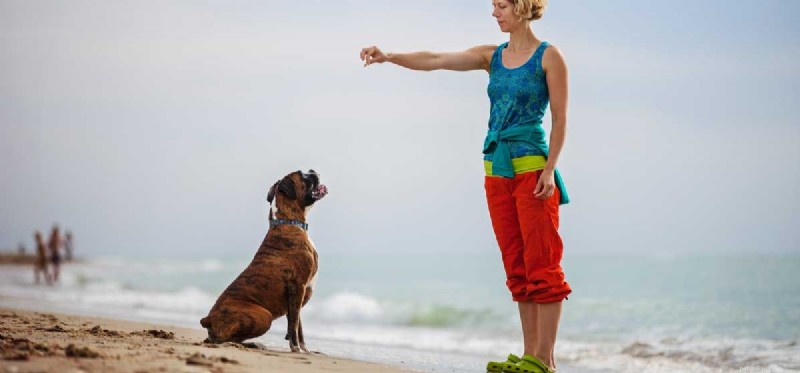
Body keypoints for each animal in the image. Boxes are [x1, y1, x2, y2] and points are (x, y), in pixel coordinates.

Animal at [203, 170, 328, 350]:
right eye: (303, 176)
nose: (312, 170)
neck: (289, 221)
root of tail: (208, 319)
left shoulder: (297, 296)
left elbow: (298, 325)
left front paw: (304, 349)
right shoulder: (298, 287)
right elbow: (293, 325)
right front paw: (296, 349)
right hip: (264, 315)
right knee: (225, 339)